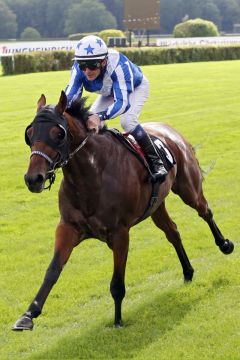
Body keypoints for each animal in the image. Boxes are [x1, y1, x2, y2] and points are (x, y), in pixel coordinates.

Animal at [12, 91, 233, 330]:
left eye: (58, 133)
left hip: (188, 188)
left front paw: (117, 320)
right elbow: (52, 271)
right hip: (156, 206)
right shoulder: (68, 227)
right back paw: (188, 271)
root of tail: (170, 130)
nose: (33, 179)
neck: (91, 176)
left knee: (205, 211)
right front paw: (28, 315)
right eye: (30, 133)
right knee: (173, 232)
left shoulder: (120, 233)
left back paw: (225, 244)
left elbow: (117, 282)